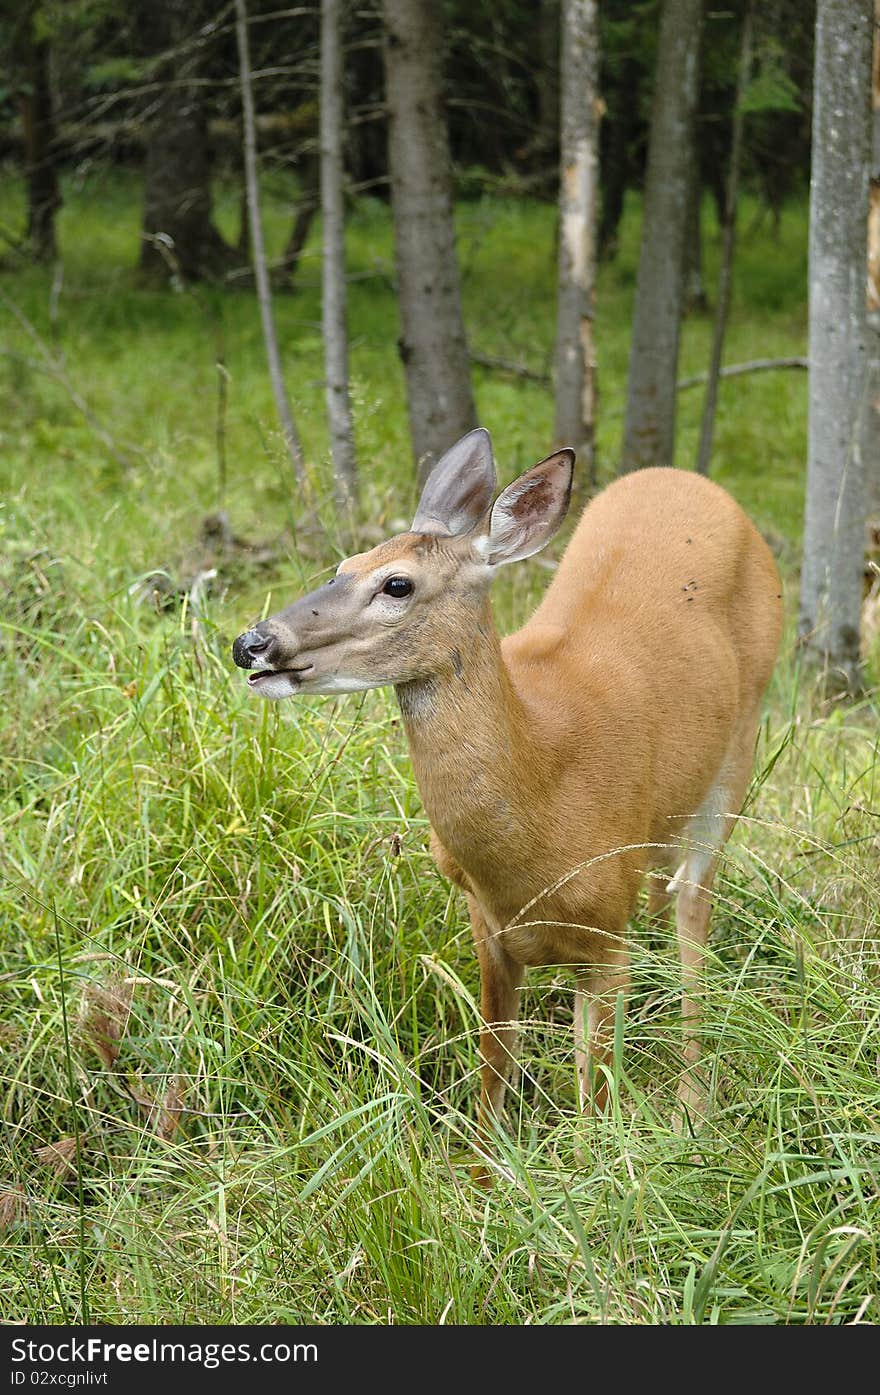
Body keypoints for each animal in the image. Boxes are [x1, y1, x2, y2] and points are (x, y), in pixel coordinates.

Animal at [232, 426, 786, 1177]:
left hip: (741, 742)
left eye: (397, 583)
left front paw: (589, 1178)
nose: (252, 642)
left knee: (693, 909)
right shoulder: (486, 925)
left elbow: (592, 1094)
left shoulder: (607, 939)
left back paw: (692, 1105)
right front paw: (480, 1177)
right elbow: (493, 1067)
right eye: (344, 564)